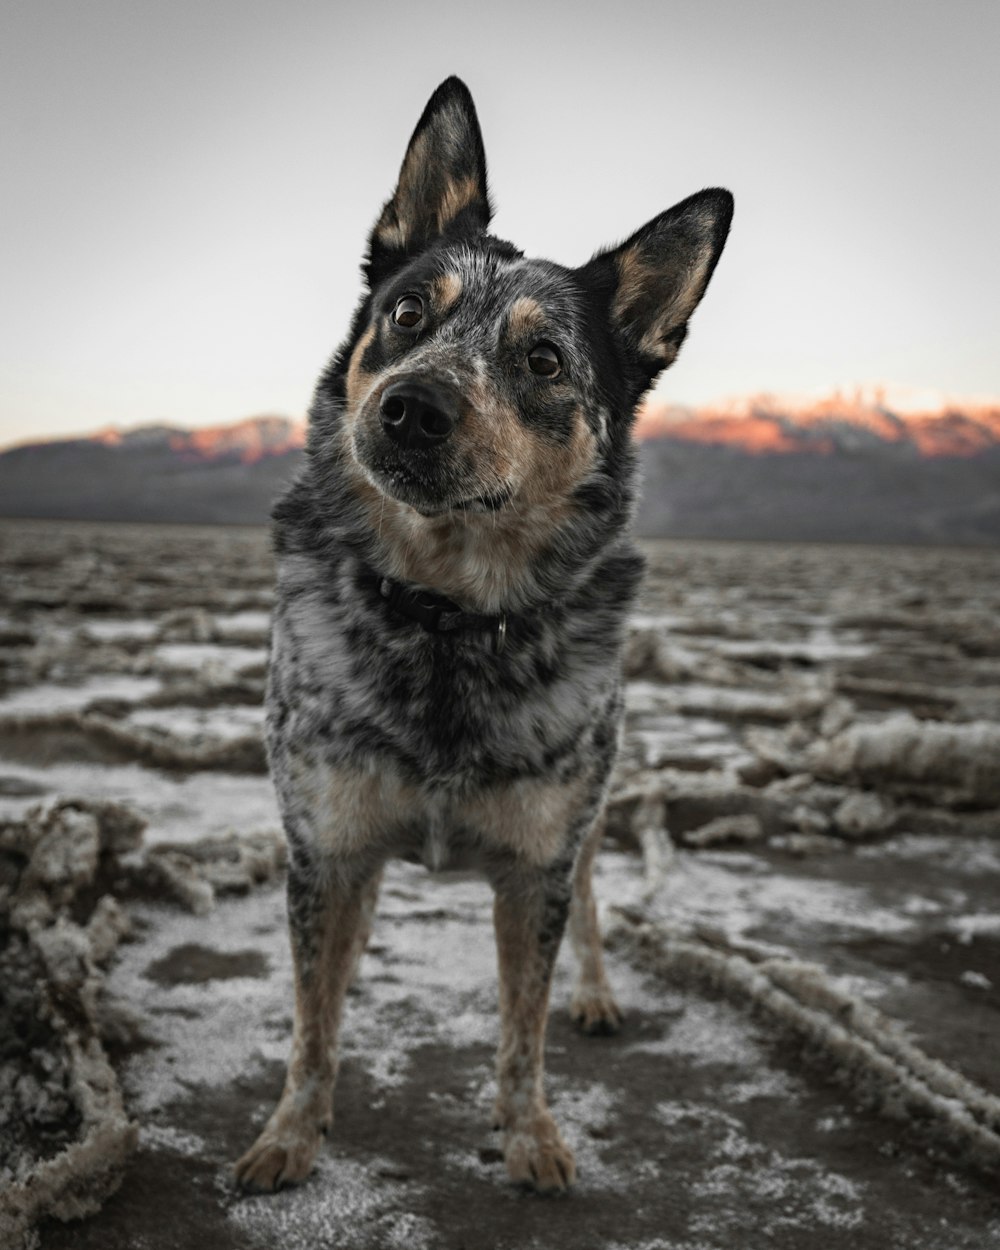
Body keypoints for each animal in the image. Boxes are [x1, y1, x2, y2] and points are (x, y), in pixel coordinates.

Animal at [235, 75, 735, 1190]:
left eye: (543, 358)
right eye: (407, 311)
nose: (410, 406)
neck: (445, 615)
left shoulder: (537, 859)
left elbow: (523, 1026)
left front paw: (532, 1135)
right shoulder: (325, 846)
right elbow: (313, 1019)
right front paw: (290, 1135)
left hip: (590, 804)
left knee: (590, 900)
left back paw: (596, 992)